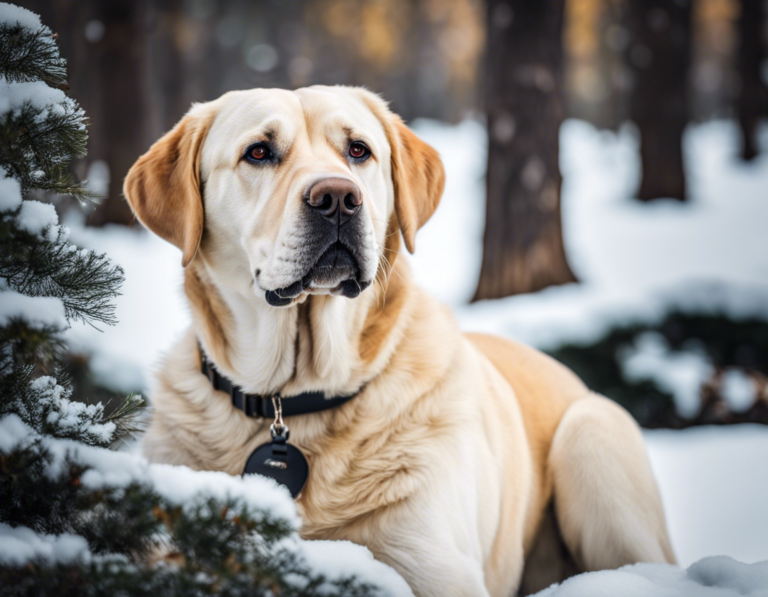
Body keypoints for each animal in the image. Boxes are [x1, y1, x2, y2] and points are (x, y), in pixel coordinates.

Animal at [123, 85, 676, 596]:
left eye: (358, 150)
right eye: (258, 152)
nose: (338, 198)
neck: (294, 397)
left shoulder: (438, 569)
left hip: (591, 437)